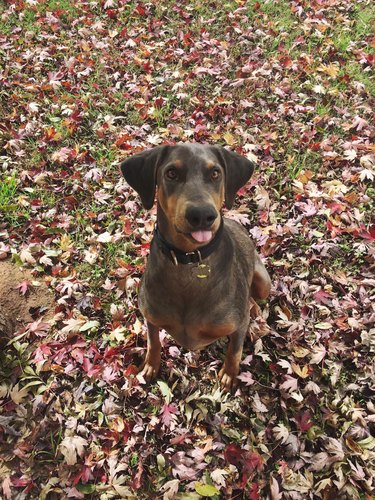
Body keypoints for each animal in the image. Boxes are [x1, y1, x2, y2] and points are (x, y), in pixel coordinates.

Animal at [122, 143, 272, 388]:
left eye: (215, 173)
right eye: (171, 173)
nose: (202, 215)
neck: (189, 257)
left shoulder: (238, 325)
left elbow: (235, 349)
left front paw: (229, 374)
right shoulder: (150, 317)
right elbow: (153, 343)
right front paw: (151, 366)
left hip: (263, 281)